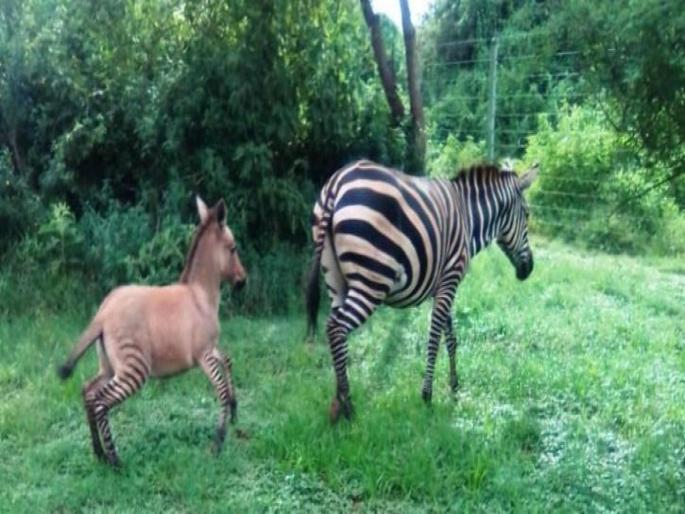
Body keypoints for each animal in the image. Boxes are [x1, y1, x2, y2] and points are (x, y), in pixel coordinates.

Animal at [306, 159, 539, 422]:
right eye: (527, 215)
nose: (529, 269)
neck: (469, 218)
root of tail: (337, 182)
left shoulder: (443, 285)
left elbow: (451, 338)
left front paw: (454, 388)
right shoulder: (450, 279)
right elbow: (434, 338)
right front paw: (427, 396)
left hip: (335, 280)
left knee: (334, 330)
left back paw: (337, 404)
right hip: (372, 280)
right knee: (337, 328)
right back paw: (348, 408)